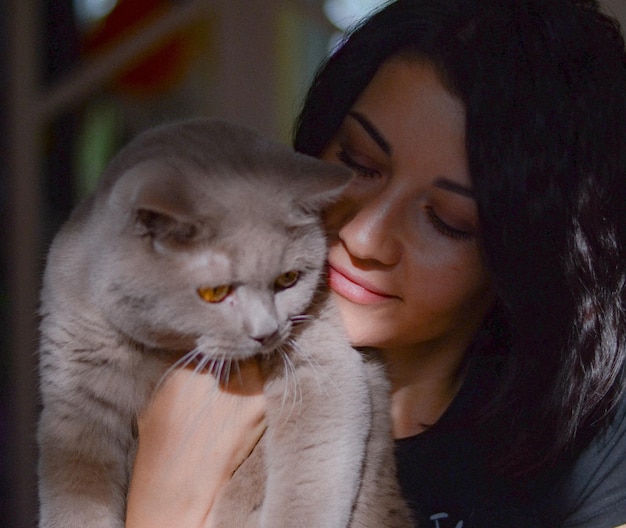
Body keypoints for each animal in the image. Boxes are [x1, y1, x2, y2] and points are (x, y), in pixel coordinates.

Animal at [36, 119, 412, 528]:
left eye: (288, 279)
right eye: (215, 292)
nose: (266, 332)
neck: (165, 352)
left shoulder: (321, 357)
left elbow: (307, 480)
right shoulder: (76, 397)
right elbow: (77, 496)